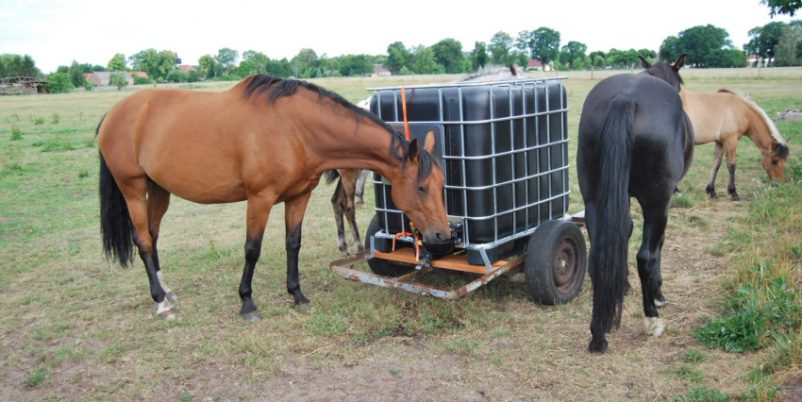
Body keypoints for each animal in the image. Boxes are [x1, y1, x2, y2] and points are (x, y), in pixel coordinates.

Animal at [95, 74, 450, 320]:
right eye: (421, 187)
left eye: (441, 184)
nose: (443, 235)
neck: (296, 129)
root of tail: (114, 113)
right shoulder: (259, 199)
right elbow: (252, 249)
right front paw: (247, 303)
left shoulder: (299, 197)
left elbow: (293, 244)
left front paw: (298, 296)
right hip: (132, 188)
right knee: (143, 240)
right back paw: (160, 303)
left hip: (159, 189)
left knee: (153, 237)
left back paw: (167, 292)